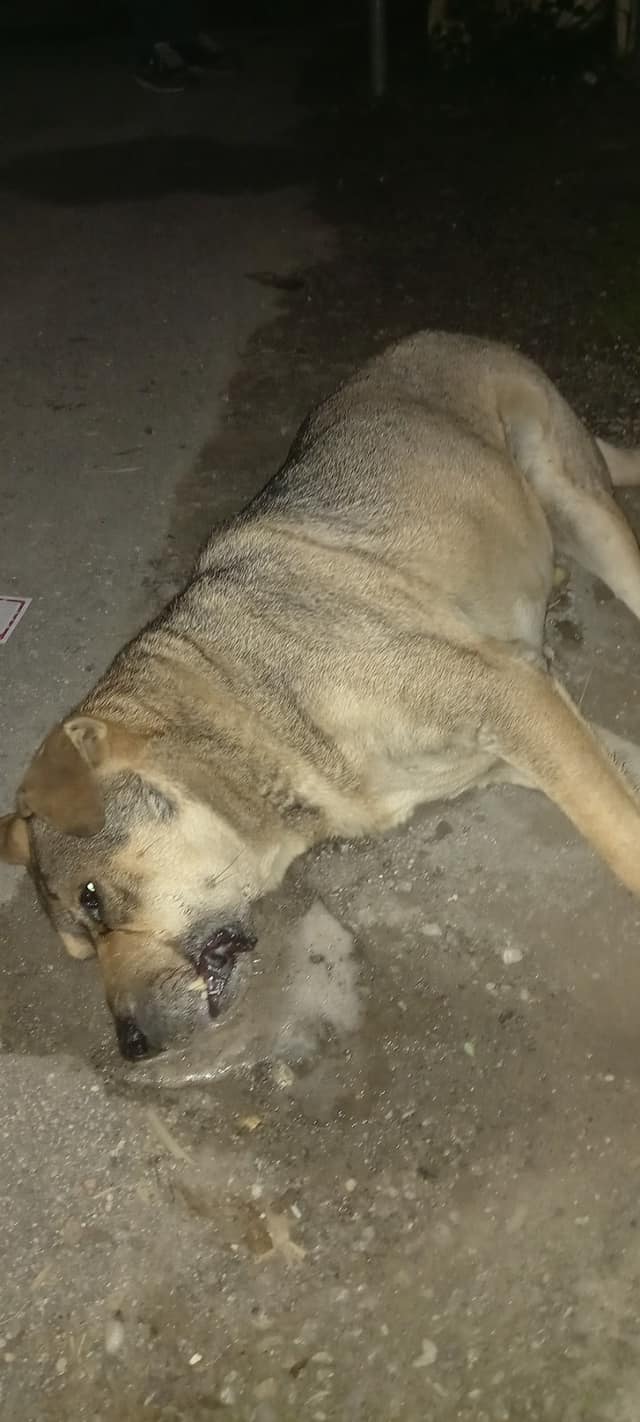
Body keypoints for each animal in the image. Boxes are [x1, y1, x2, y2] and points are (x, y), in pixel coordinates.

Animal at [3, 330, 640, 1061]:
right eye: (80, 949)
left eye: (92, 898)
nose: (132, 1044)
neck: (249, 717)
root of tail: (444, 335)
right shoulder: (524, 735)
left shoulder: (508, 698)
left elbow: (621, 841)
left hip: (576, 500)